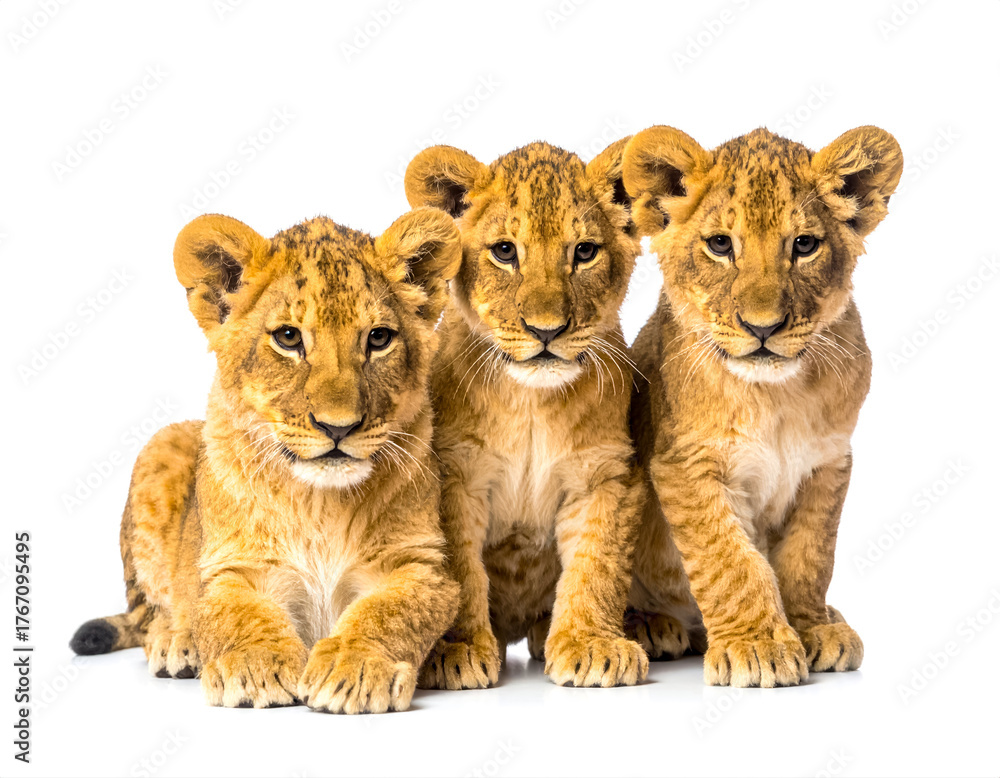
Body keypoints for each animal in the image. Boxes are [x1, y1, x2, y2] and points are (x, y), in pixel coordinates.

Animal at [70, 209, 463, 712]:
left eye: (378, 338)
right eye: (288, 338)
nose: (339, 427)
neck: (321, 502)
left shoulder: (422, 566)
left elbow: (388, 612)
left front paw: (353, 668)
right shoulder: (227, 569)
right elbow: (240, 614)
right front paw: (258, 668)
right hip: (163, 444)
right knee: (145, 617)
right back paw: (176, 644)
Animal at [403, 139, 655, 689]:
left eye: (584, 252)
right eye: (504, 252)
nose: (546, 330)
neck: (532, 405)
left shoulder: (604, 475)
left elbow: (596, 563)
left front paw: (589, 644)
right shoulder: (454, 474)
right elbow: (459, 568)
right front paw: (455, 651)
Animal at [621, 125, 903, 687]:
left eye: (805, 245)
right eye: (720, 245)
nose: (763, 327)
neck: (775, 395)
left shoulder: (828, 462)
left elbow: (808, 557)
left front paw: (812, 629)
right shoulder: (685, 465)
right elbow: (731, 561)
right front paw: (757, 646)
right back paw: (650, 627)